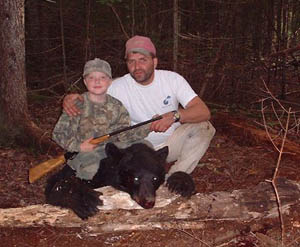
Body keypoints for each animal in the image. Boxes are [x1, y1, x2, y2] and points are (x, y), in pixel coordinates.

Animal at [44, 143, 195, 220]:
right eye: (135, 178)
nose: (148, 202)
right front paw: (83, 200)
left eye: (155, 179)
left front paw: (180, 182)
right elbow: (54, 188)